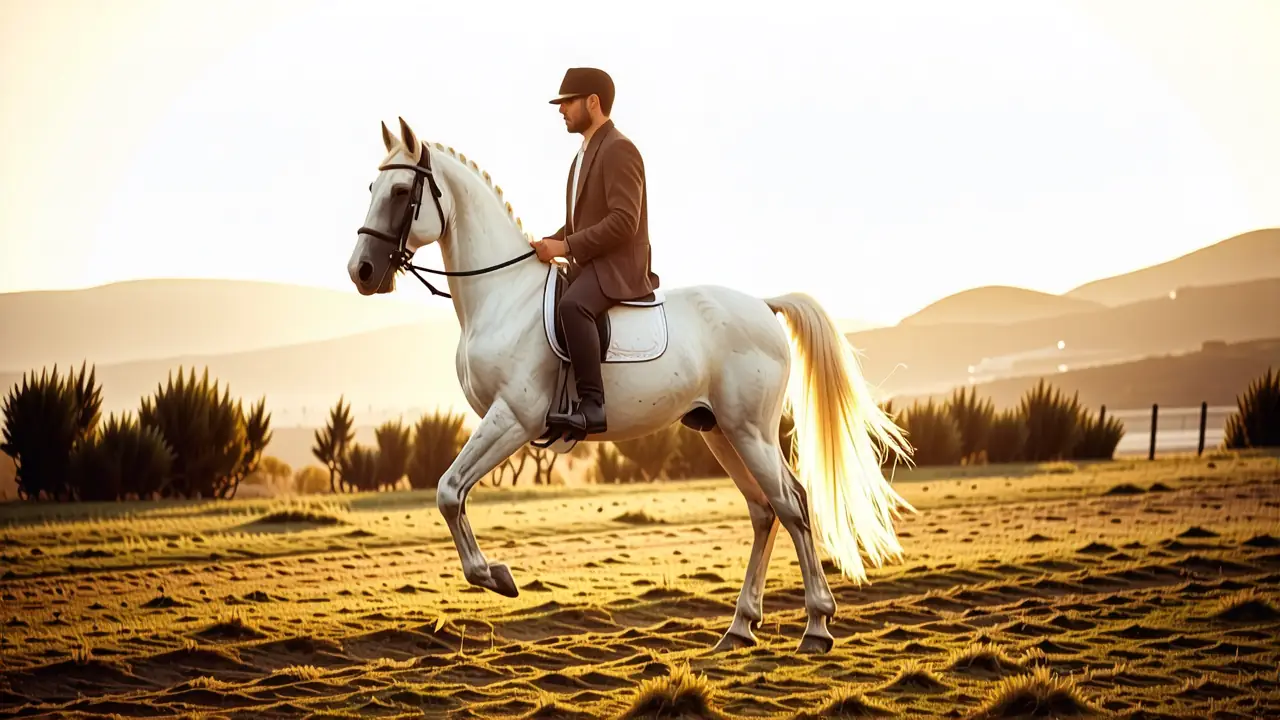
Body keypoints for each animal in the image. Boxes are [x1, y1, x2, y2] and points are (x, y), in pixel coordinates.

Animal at [347, 118, 915, 653]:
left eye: (401, 192)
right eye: (372, 188)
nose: (361, 271)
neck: (501, 295)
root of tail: (762, 304)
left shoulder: (514, 417)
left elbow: (448, 490)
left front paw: (497, 576)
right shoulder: (504, 421)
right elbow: (453, 494)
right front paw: (492, 574)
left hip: (750, 430)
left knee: (791, 505)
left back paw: (817, 626)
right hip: (720, 430)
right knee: (763, 511)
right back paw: (739, 628)